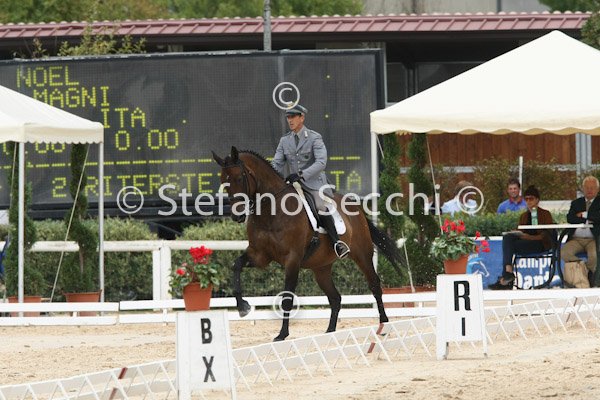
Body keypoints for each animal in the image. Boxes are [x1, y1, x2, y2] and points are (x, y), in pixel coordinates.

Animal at [212, 146, 406, 341]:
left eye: (239, 178)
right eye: (223, 182)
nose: (237, 216)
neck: (271, 211)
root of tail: (356, 206)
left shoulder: (293, 259)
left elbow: (287, 299)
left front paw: (282, 334)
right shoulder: (259, 256)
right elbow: (236, 266)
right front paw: (242, 307)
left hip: (362, 254)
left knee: (374, 285)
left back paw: (383, 325)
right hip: (321, 268)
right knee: (335, 298)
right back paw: (330, 332)